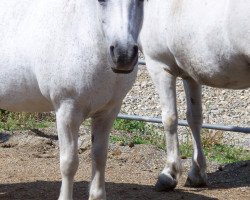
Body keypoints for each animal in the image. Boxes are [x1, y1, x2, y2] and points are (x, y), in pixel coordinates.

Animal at [0, 0, 144, 199]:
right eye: (101, 1)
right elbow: (69, 163)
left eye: (142, 1)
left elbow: (100, 156)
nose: (123, 55)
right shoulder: (67, 111)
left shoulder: (108, 112)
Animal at [139, 0, 250, 191]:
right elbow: (194, 118)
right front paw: (196, 175)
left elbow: (169, 118)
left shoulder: (159, 66)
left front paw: (169, 174)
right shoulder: (190, 74)